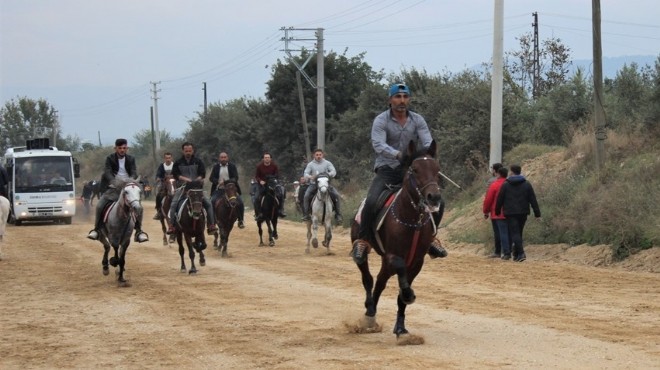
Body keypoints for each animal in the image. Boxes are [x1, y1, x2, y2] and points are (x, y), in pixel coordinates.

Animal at [350, 139, 444, 344]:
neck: (413, 220)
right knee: (369, 279)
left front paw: (401, 329)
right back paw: (369, 314)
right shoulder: (393, 256)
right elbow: (401, 276)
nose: (434, 196)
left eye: (437, 168)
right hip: (365, 251)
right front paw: (408, 294)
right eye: (415, 169)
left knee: (380, 282)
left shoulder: (416, 261)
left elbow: (401, 294)